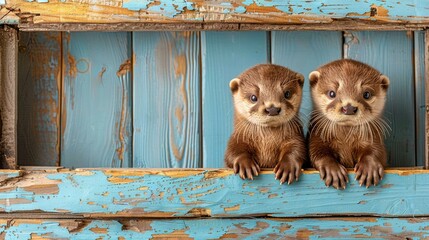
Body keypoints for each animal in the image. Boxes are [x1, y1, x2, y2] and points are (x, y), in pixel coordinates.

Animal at [306, 58, 390, 189]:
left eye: (366, 94)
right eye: (331, 93)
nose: (349, 107)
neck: (346, 141)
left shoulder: (375, 138)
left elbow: (376, 152)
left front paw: (369, 168)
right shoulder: (316, 138)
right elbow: (318, 153)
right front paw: (333, 170)